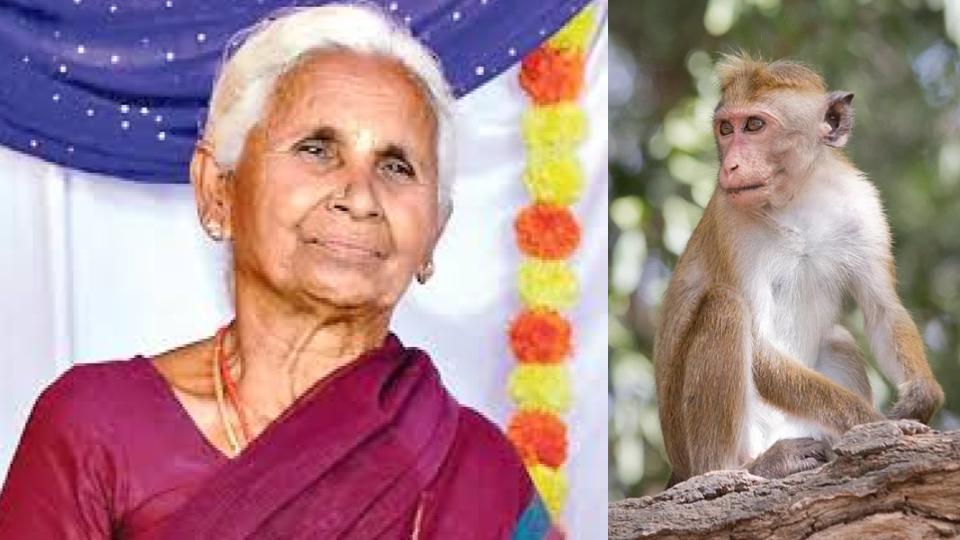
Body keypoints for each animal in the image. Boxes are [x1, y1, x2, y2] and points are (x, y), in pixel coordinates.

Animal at [653, 55, 944, 486]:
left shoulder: (864, 205)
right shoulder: (731, 222)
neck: (797, 196)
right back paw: (738, 468)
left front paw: (921, 398)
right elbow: (759, 347)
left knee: (838, 339)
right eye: (726, 128)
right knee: (724, 307)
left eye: (754, 125)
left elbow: (882, 310)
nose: (731, 165)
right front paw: (873, 422)